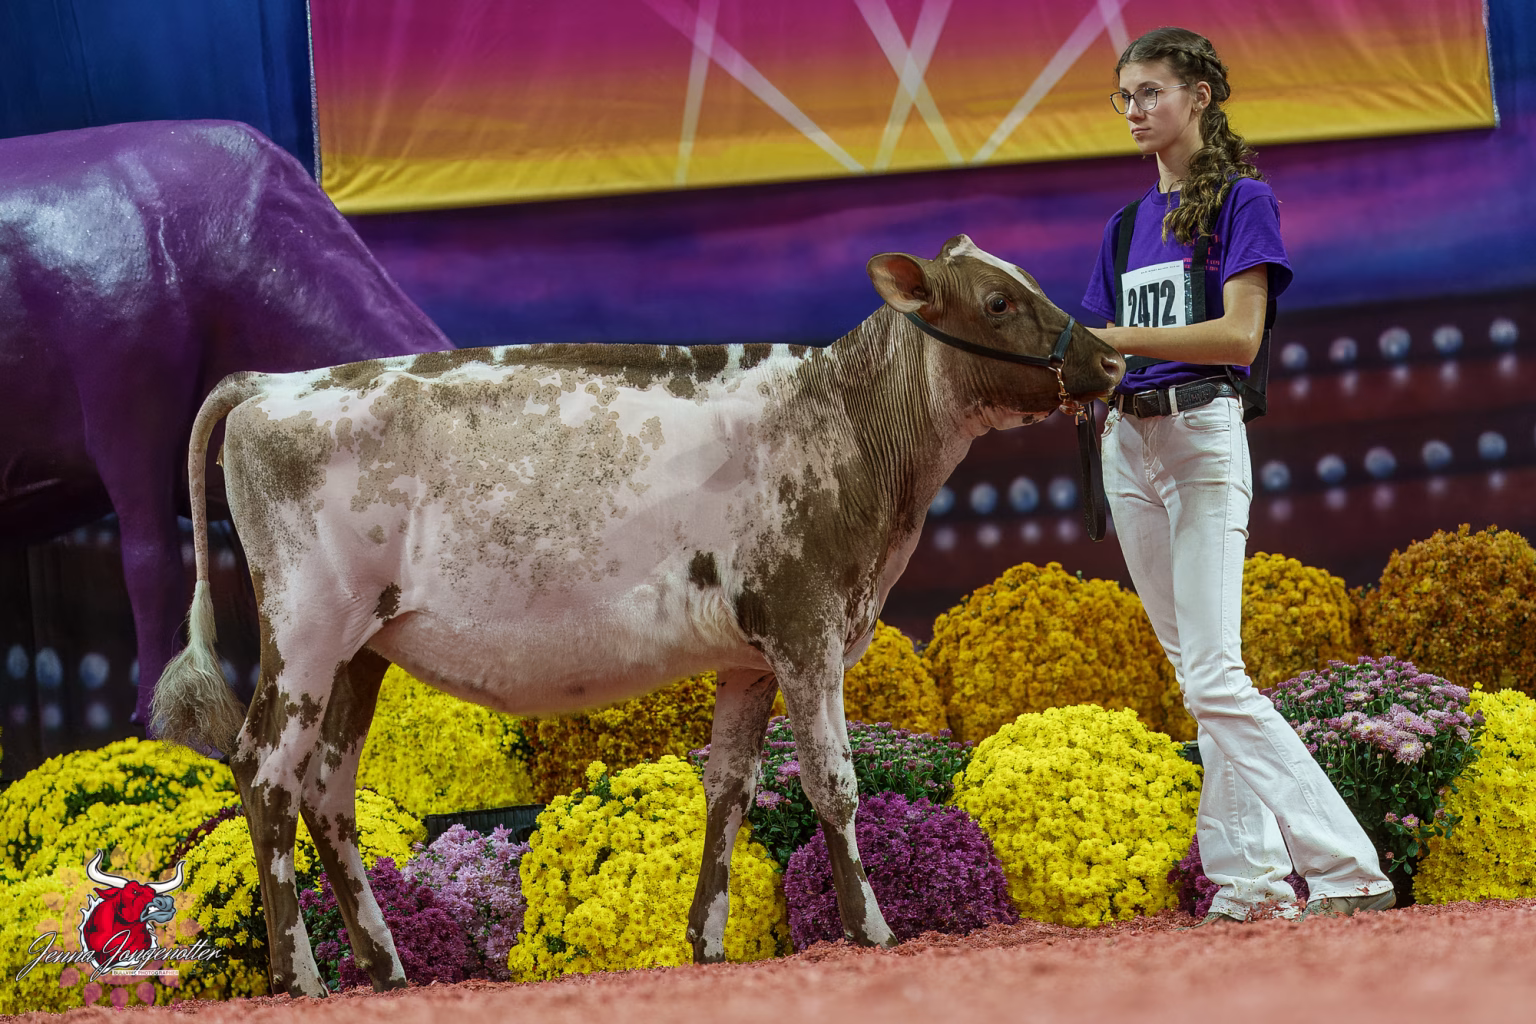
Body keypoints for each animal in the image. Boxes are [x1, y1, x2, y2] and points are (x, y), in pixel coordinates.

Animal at [151, 234, 1125, 996]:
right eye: (998, 300)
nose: (1112, 361)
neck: (845, 424)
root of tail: (272, 385)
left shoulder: (751, 655)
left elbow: (729, 787)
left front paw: (708, 940)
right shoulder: (807, 626)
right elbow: (833, 783)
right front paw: (872, 927)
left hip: (363, 647)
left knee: (329, 789)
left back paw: (384, 965)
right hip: (307, 629)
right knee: (265, 770)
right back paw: (300, 973)